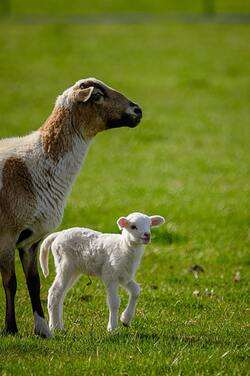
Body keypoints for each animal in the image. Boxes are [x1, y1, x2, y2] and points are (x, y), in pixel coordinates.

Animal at [0, 78, 142, 336]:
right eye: (97, 95)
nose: (138, 111)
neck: (33, 165)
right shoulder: (7, 234)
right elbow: (10, 282)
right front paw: (11, 328)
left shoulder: (30, 240)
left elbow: (34, 283)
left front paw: (42, 329)